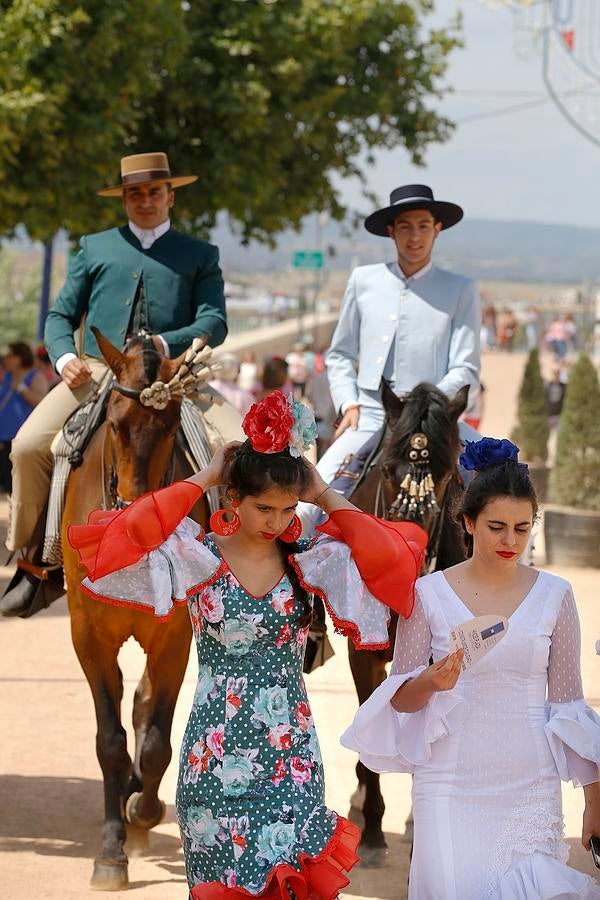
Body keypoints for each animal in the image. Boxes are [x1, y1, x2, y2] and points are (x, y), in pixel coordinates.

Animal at [59, 328, 207, 884]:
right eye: (117, 426)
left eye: (169, 427)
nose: (139, 518)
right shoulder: (88, 636)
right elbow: (109, 741)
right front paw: (109, 852)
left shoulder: (174, 637)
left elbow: (158, 739)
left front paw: (142, 813)